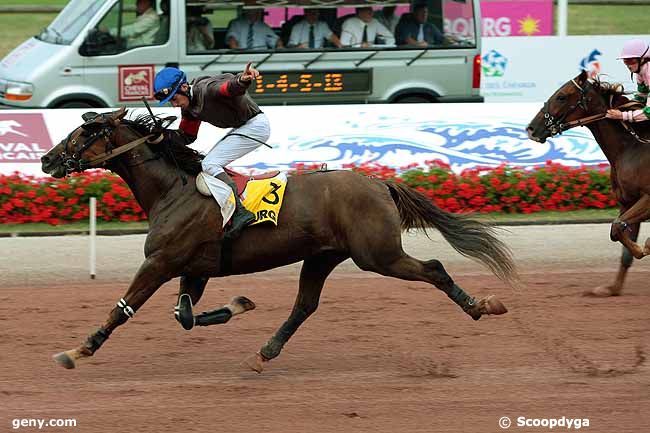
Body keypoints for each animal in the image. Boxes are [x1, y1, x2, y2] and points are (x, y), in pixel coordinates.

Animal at [43, 107, 512, 372]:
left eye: (83, 134)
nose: (47, 159)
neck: (173, 189)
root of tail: (378, 182)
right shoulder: (196, 269)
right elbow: (186, 316)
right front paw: (239, 304)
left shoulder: (160, 262)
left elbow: (123, 309)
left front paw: (79, 350)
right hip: (324, 256)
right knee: (304, 305)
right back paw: (264, 352)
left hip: (378, 255)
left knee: (433, 269)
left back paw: (480, 306)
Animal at [528, 70, 648, 296]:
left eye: (561, 96)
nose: (531, 129)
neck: (631, 147)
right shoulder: (628, 201)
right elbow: (618, 235)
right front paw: (612, 289)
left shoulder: (647, 199)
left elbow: (617, 229)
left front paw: (646, 246)